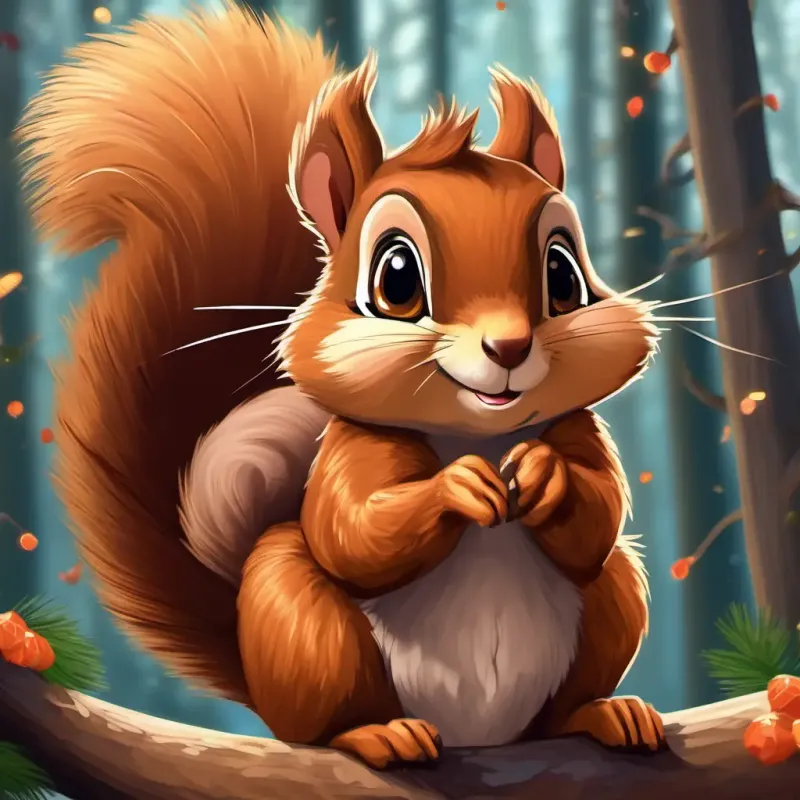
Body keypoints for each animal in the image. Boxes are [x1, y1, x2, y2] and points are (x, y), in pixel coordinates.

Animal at [16, 2, 665, 770]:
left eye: (563, 276)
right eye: (396, 279)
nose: (508, 346)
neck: (472, 432)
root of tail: (482, 734)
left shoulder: (578, 430)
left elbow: (599, 517)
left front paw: (544, 475)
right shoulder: (353, 449)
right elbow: (351, 532)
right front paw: (458, 488)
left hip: (612, 603)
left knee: (586, 635)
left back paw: (603, 713)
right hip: (300, 621)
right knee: (323, 704)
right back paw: (376, 733)